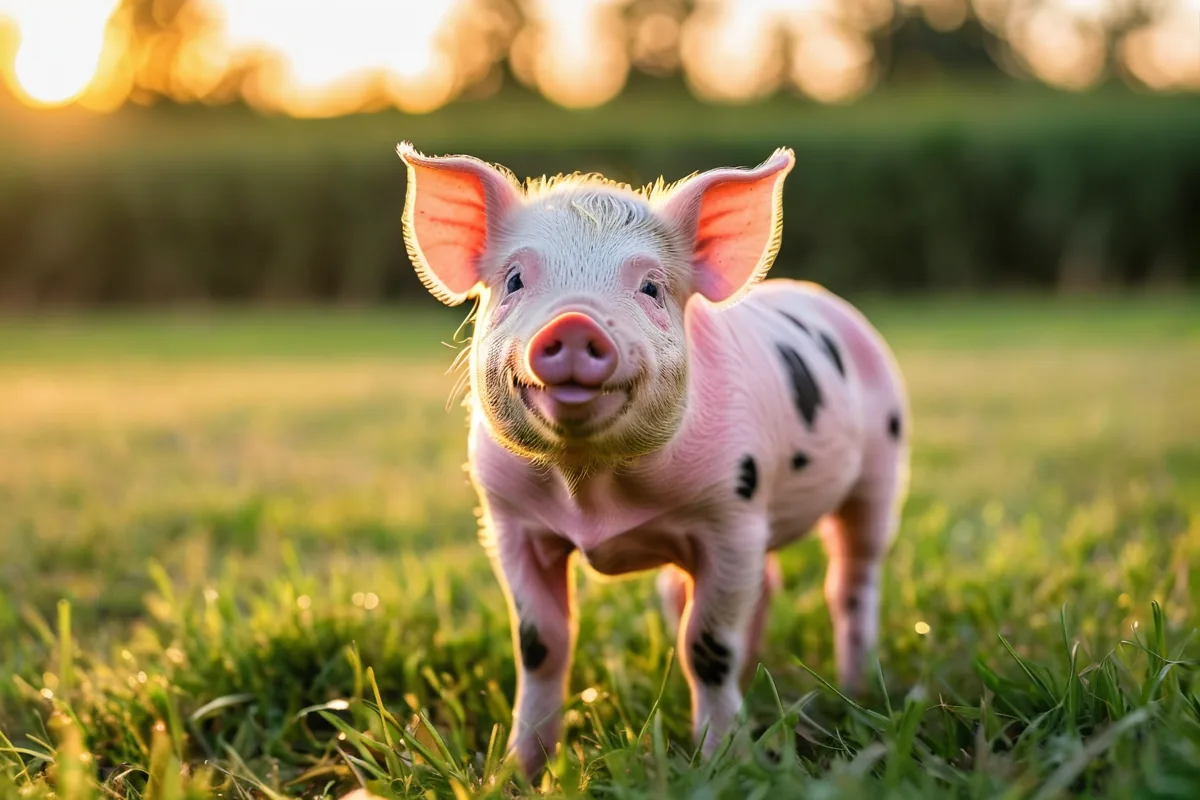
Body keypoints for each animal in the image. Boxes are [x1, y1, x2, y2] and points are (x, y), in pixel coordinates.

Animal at [396, 142, 910, 777]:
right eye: (515, 278)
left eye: (650, 287)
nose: (575, 322)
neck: (591, 490)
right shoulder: (508, 520)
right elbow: (541, 644)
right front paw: (519, 773)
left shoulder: (732, 519)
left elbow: (706, 646)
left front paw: (724, 764)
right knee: (754, 583)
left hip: (881, 469)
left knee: (851, 580)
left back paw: (857, 689)